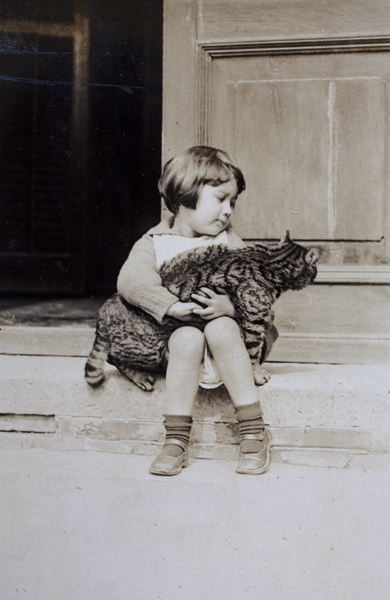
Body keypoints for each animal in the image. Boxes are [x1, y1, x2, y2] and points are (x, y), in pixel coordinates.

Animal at [85, 230, 320, 390]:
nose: (318, 274)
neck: (271, 260)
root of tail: (104, 310)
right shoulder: (254, 323)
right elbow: (253, 355)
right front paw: (258, 375)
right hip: (148, 347)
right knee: (114, 357)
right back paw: (139, 375)